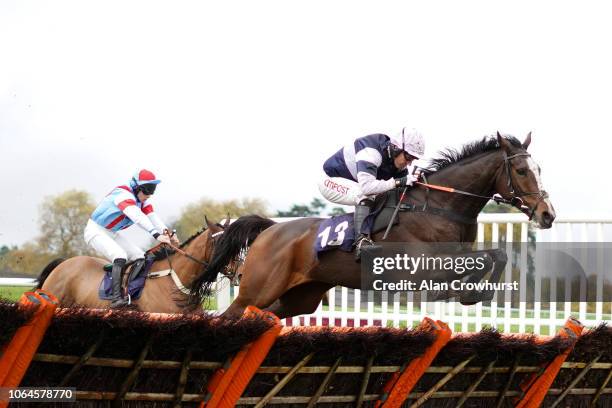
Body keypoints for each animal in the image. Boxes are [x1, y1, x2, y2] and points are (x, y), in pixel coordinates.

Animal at [191, 134, 556, 318]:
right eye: (522, 171)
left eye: (539, 169)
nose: (547, 214)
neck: (439, 207)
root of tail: (270, 230)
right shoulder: (421, 266)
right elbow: (485, 259)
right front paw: (467, 291)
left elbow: (496, 255)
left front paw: (471, 292)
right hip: (258, 288)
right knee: (230, 316)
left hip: (300, 297)